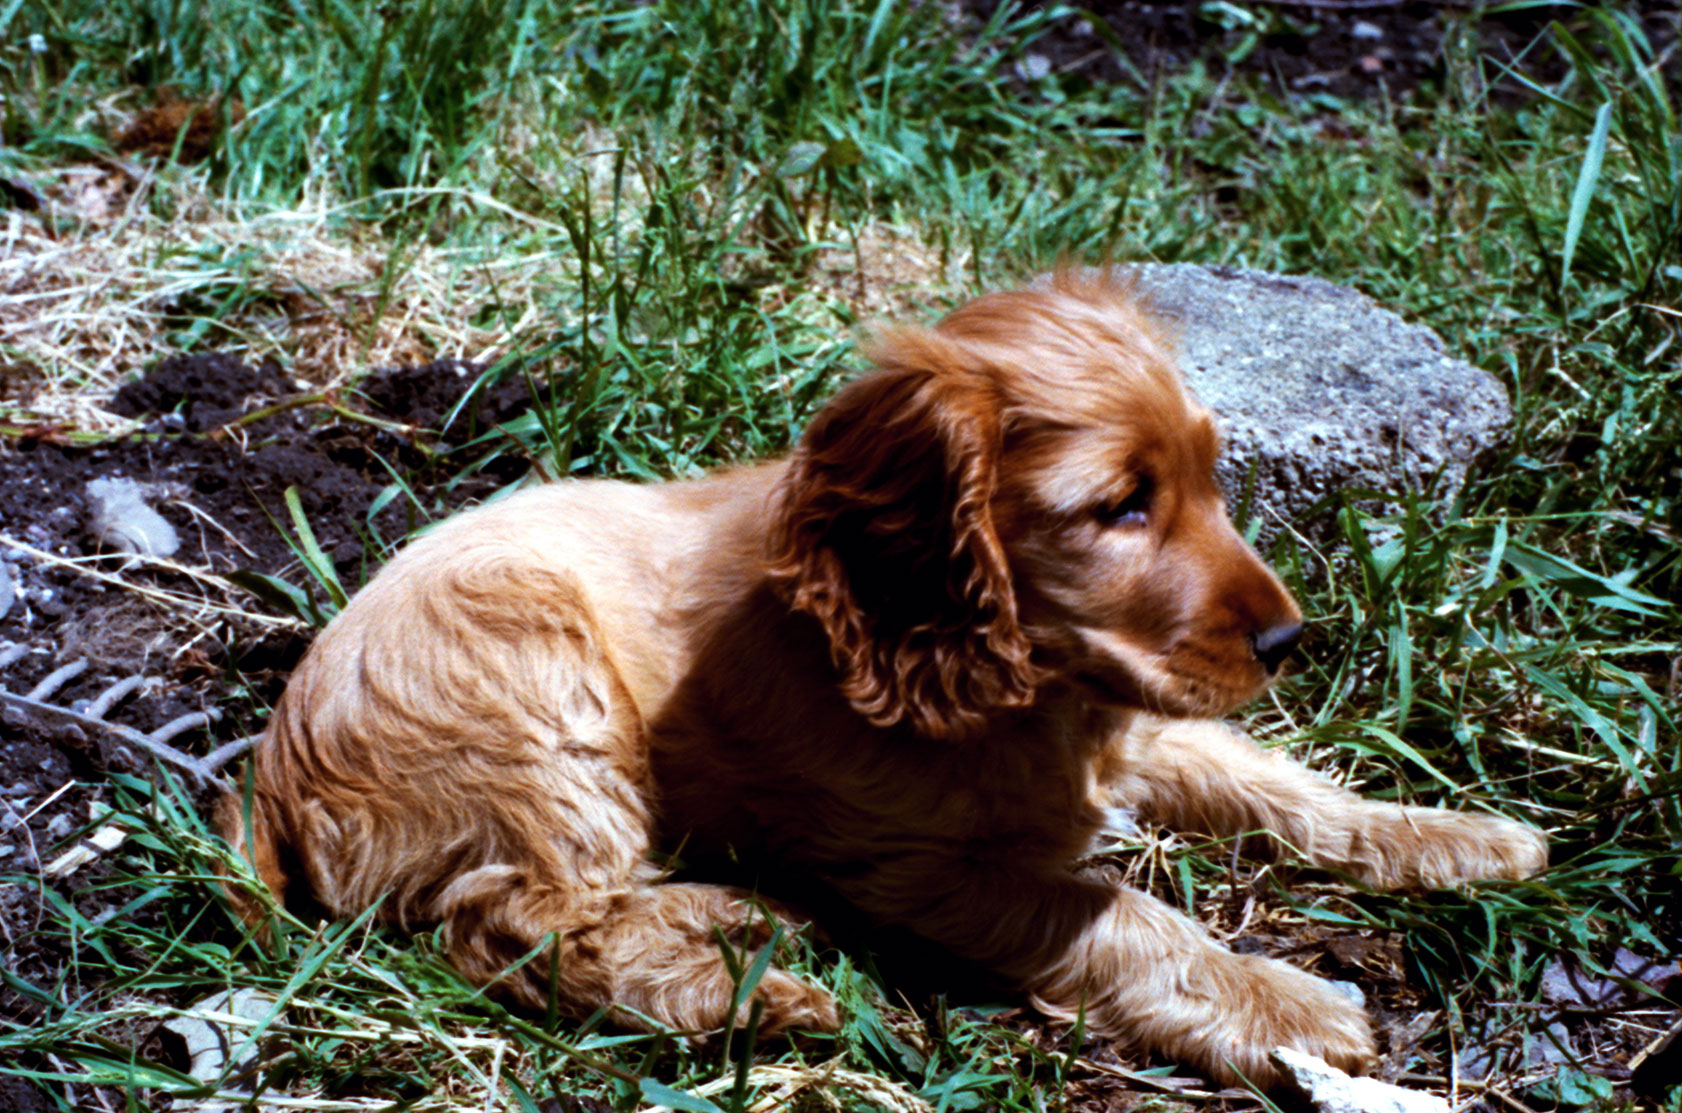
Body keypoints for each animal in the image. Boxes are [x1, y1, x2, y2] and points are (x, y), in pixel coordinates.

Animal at [227, 270, 1547, 1089]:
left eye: (1208, 480)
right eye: (1118, 506)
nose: (1286, 642)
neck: (1035, 692)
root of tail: (272, 766)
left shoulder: (1144, 720)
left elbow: (1285, 783)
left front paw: (1452, 836)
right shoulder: (922, 864)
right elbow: (1119, 916)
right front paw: (1285, 1009)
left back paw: (734, 915)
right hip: (535, 694)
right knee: (513, 925)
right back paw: (768, 999)